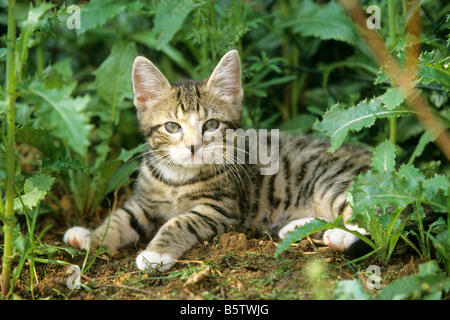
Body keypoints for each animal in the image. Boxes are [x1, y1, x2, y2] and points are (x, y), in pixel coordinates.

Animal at [65, 50, 370, 270]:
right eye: (172, 127)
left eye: (211, 124)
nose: (192, 147)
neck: (177, 179)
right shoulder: (143, 202)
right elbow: (121, 217)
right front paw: (92, 235)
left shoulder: (221, 208)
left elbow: (180, 222)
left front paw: (156, 253)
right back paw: (299, 227)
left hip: (335, 182)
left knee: (370, 216)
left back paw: (342, 236)